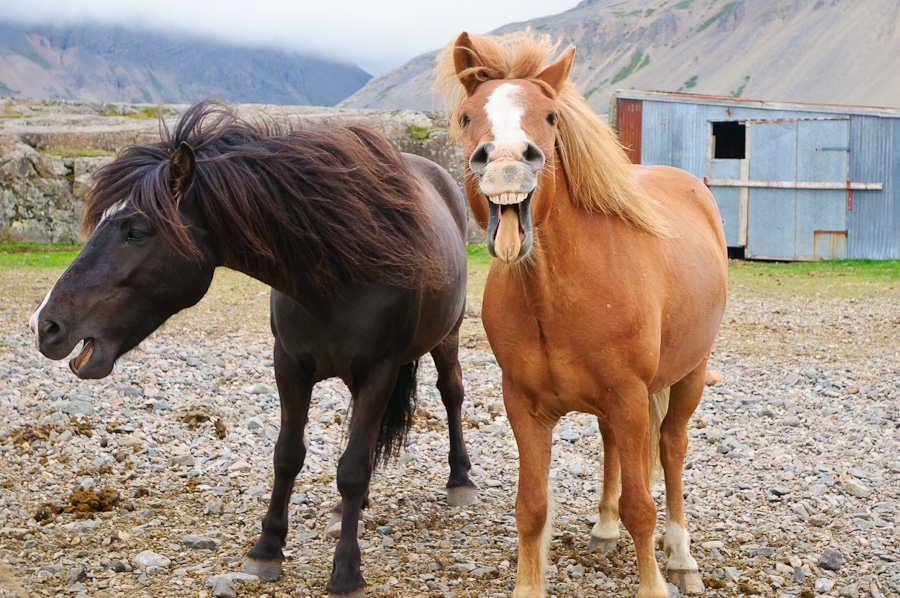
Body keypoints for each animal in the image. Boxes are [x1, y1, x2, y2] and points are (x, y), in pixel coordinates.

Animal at [27, 101, 474, 596]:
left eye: (137, 231)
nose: (45, 324)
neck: (341, 274)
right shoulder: (290, 365)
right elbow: (288, 456)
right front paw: (267, 549)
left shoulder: (380, 370)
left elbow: (352, 468)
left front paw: (346, 571)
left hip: (447, 338)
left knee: (451, 393)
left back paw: (459, 480)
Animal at [438, 32, 732, 598]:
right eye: (466, 116)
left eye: (550, 116)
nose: (506, 160)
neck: (557, 295)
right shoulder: (525, 405)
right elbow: (531, 507)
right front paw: (530, 585)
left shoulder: (631, 395)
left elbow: (643, 506)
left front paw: (654, 584)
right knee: (613, 446)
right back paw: (604, 528)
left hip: (690, 374)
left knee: (672, 448)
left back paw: (680, 555)